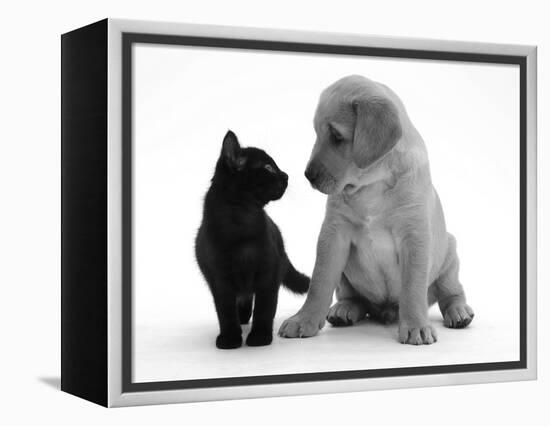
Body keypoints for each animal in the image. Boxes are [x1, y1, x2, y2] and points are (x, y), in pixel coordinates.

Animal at [196, 131, 310, 350]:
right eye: (267, 167)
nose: (286, 175)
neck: (243, 219)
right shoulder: (220, 278)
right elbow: (225, 311)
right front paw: (230, 338)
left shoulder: (269, 273)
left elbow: (265, 308)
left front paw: (260, 337)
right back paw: (241, 319)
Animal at [280, 75, 474, 344]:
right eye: (317, 134)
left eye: (337, 137)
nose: (308, 175)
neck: (373, 185)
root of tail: (385, 310)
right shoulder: (333, 234)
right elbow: (319, 282)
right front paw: (303, 319)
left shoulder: (414, 237)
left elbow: (412, 288)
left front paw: (416, 325)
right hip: (346, 278)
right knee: (354, 298)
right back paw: (345, 309)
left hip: (449, 255)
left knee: (451, 292)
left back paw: (459, 311)